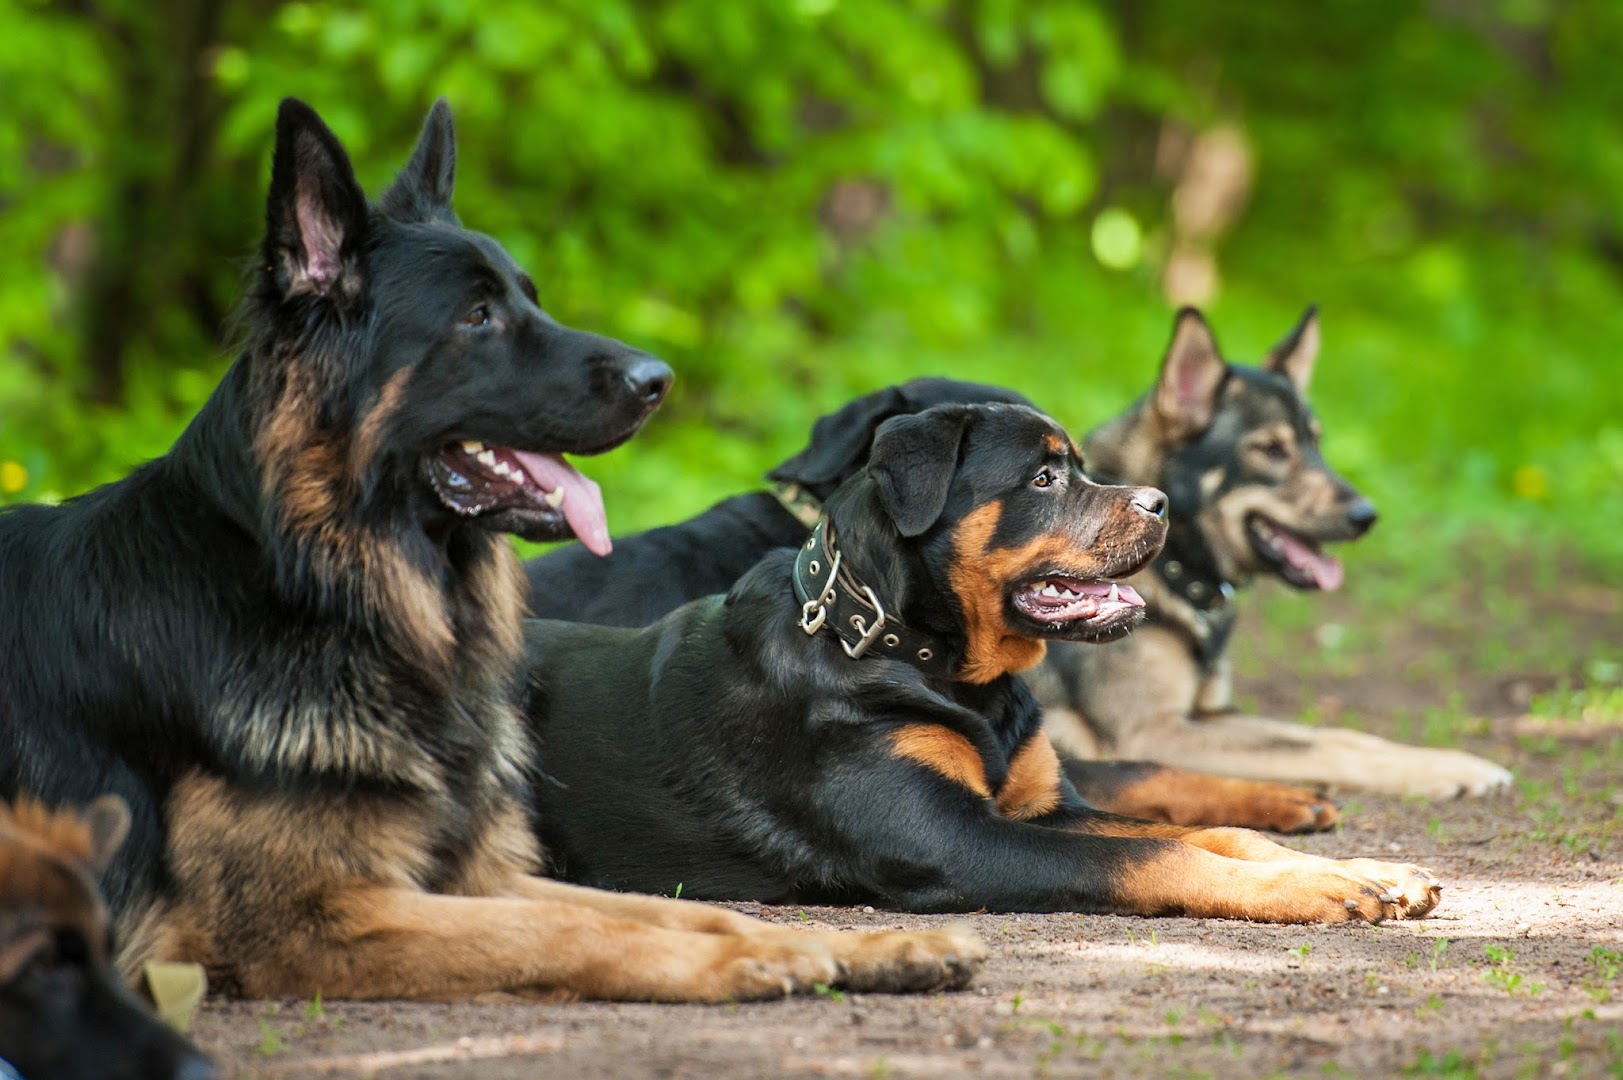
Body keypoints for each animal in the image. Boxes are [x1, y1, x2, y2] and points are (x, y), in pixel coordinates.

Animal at [0, 99, 973, 1000]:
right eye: (476, 316)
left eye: (529, 298)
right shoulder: (310, 919)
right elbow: (573, 932)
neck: (333, 595)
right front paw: (745, 965)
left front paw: (871, 946)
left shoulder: (481, 870)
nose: (658, 381)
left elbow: (691, 908)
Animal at [525, 399, 1441, 922]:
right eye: (1042, 478)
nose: (1159, 503)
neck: (930, 662)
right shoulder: (951, 840)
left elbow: (1205, 832)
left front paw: (1364, 867)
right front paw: (1318, 889)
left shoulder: (1045, 808)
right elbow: (1155, 854)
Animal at [1032, 306, 1512, 795]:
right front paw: (1449, 771)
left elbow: (1336, 734)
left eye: (1315, 443)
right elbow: (1323, 749)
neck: (1175, 564)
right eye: (1270, 449)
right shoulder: (1151, 733)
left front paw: (1448, 759)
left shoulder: (1209, 714)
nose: (1366, 515)